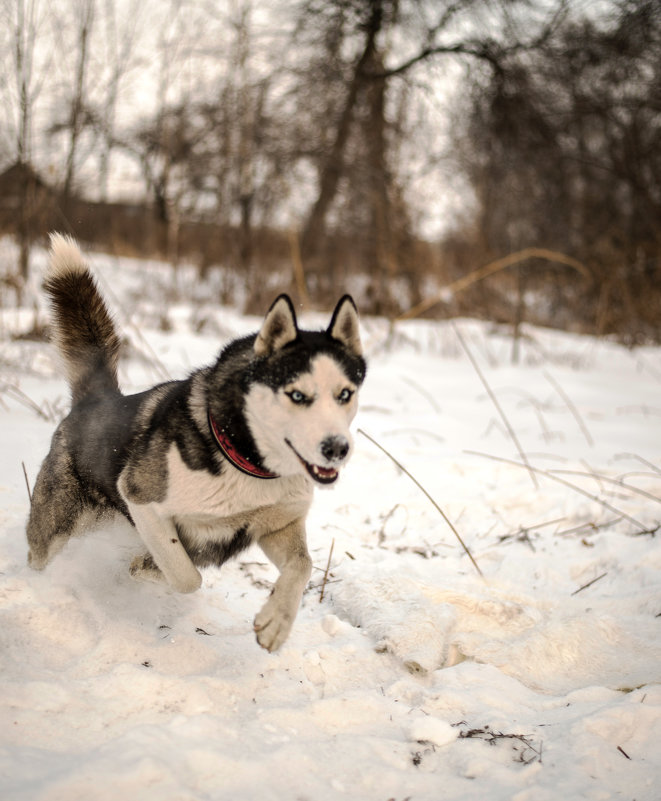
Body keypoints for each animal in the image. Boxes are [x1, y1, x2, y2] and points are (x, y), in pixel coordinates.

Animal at [25, 236, 366, 648]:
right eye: (297, 395)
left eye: (345, 394)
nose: (337, 449)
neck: (248, 461)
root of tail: (98, 399)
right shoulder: (141, 498)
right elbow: (186, 575)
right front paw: (147, 566)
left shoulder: (276, 525)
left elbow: (303, 564)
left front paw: (276, 622)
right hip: (56, 527)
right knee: (40, 556)